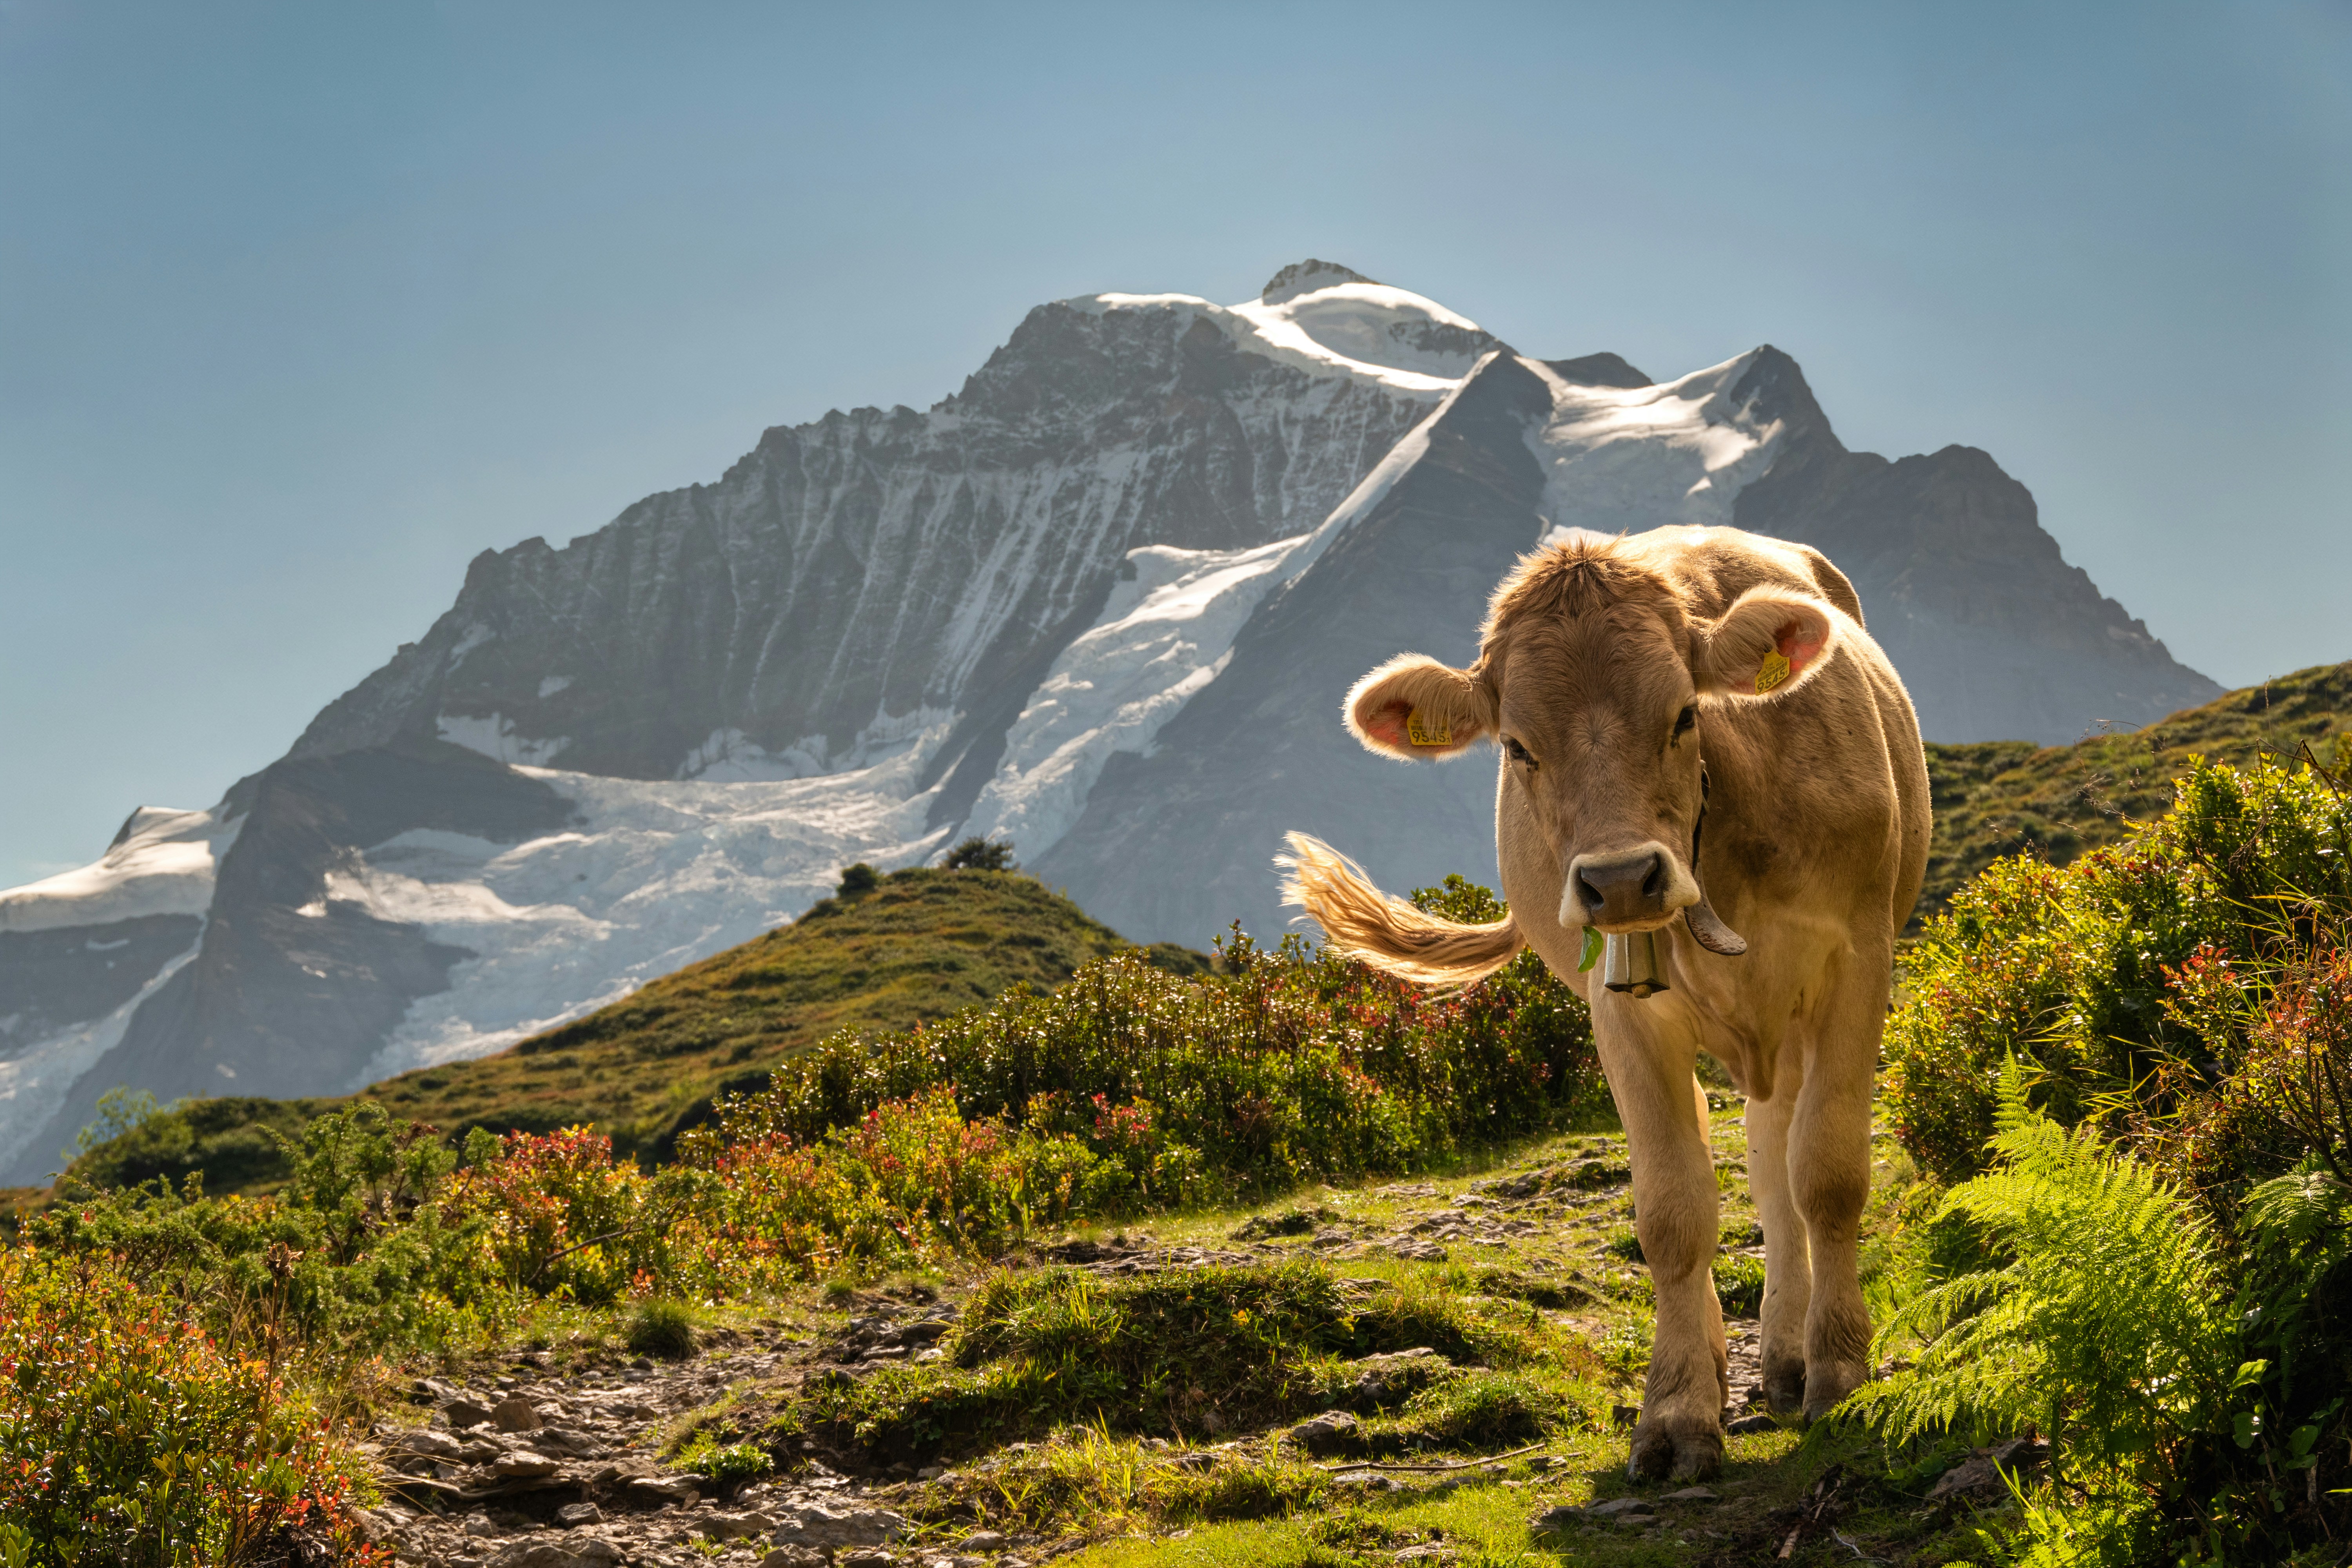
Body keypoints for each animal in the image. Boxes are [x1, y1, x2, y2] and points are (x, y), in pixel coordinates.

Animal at [1282, 525, 1929, 1481]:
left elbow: (1830, 1173)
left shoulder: (1858, 959)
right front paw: (1678, 1413)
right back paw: (1740, 1358)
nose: (1622, 879)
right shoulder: (1621, 1007)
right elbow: (1672, 1212)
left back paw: (1790, 1357)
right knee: (1744, 1161)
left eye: (1685, 714)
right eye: (1517, 747)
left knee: (1779, 1160)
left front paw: (1842, 1372)